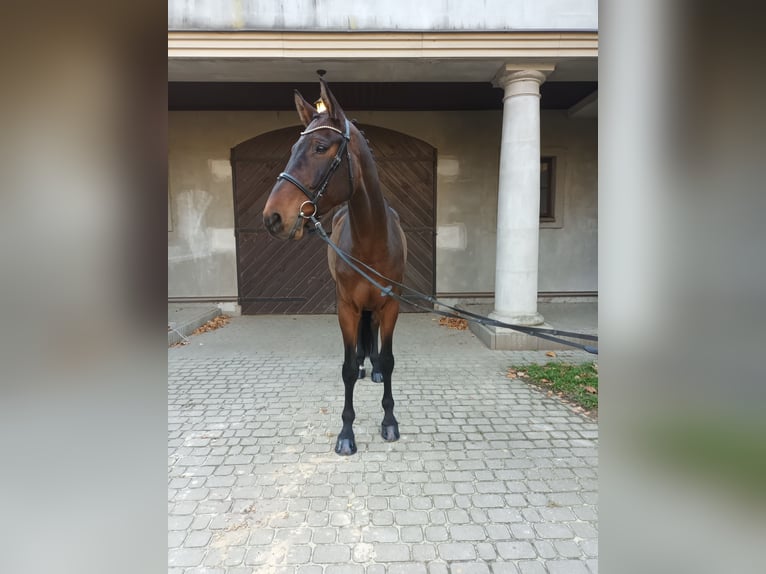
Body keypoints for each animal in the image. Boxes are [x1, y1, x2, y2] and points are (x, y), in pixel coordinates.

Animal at [262, 78, 407, 456]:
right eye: (293, 147)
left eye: (320, 146)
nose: (273, 217)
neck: (372, 240)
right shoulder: (346, 307)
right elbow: (346, 367)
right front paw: (346, 432)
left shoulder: (391, 304)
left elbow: (389, 360)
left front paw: (389, 421)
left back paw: (372, 368)